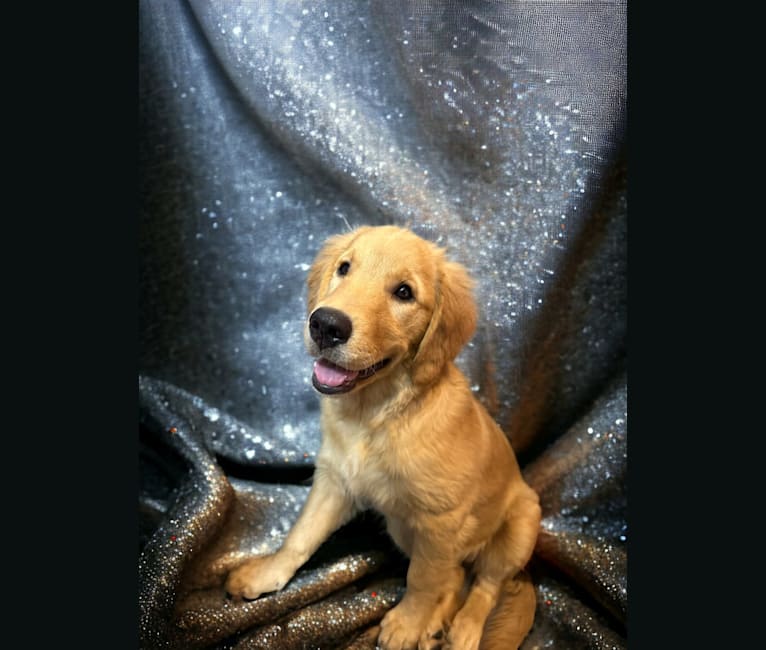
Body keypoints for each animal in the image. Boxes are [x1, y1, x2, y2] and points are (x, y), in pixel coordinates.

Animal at [225, 224, 544, 648]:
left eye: (404, 292)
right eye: (344, 268)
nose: (326, 325)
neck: (374, 416)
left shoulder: (440, 523)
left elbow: (421, 579)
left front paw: (406, 624)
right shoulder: (335, 482)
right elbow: (301, 535)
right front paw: (266, 574)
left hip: (522, 523)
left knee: (485, 585)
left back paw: (462, 630)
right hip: (401, 526)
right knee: (456, 576)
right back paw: (437, 624)